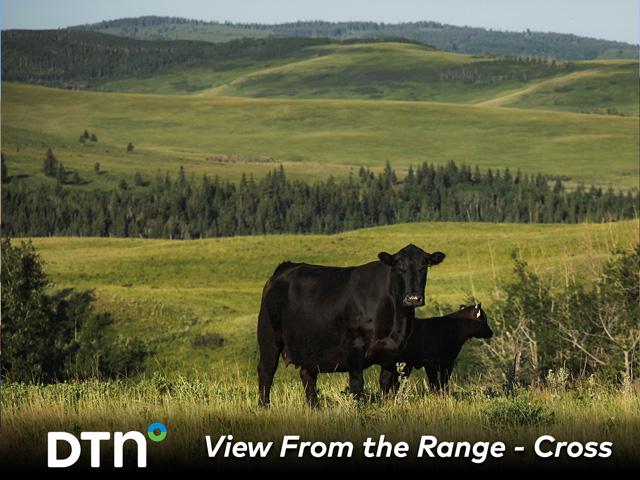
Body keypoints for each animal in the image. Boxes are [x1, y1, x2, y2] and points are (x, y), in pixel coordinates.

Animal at [257, 244, 446, 407]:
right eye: (399, 268)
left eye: (424, 267)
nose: (413, 298)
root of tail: (286, 266)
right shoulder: (354, 346)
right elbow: (357, 383)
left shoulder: (393, 353)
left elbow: (386, 384)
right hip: (269, 336)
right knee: (266, 370)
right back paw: (264, 406)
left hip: (310, 344)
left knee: (307, 375)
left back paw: (315, 407)